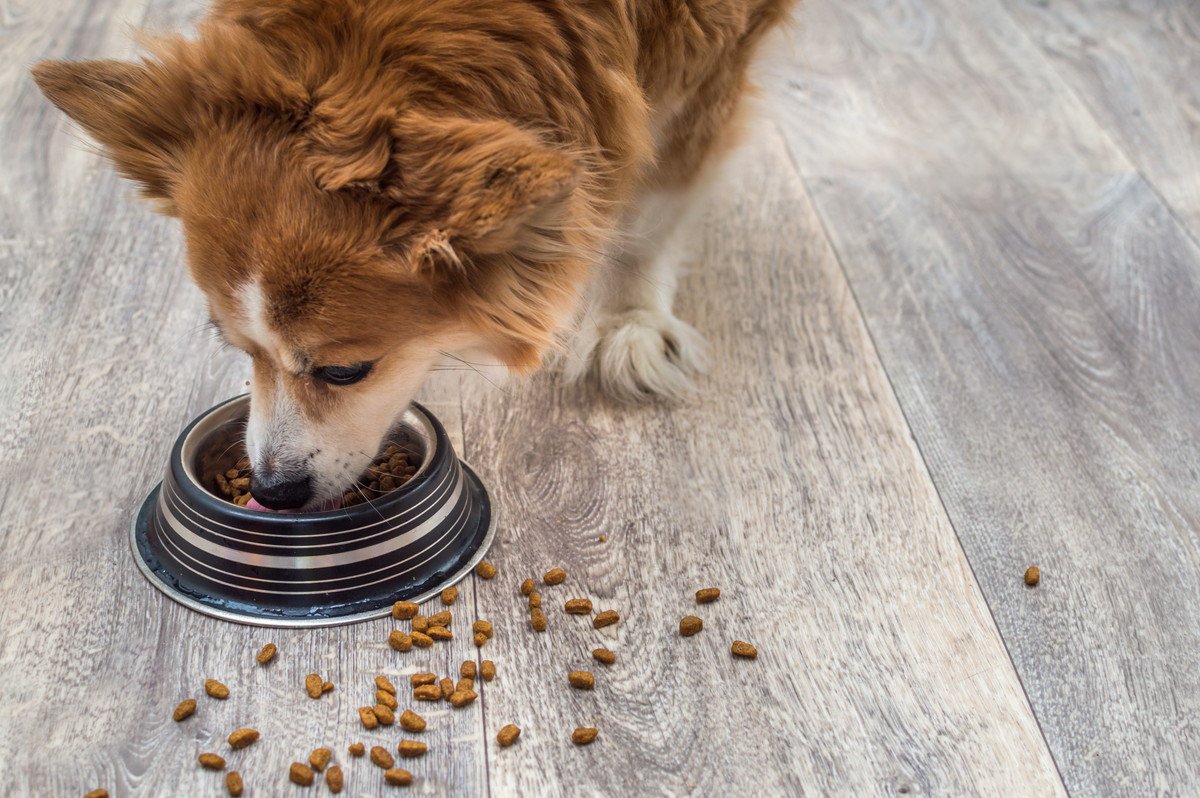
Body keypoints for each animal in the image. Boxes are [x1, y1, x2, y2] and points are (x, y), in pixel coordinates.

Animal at [32, 0, 792, 506]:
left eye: (345, 371)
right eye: (235, 348)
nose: (273, 492)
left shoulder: (717, 52)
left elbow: (659, 196)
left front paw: (629, 318)